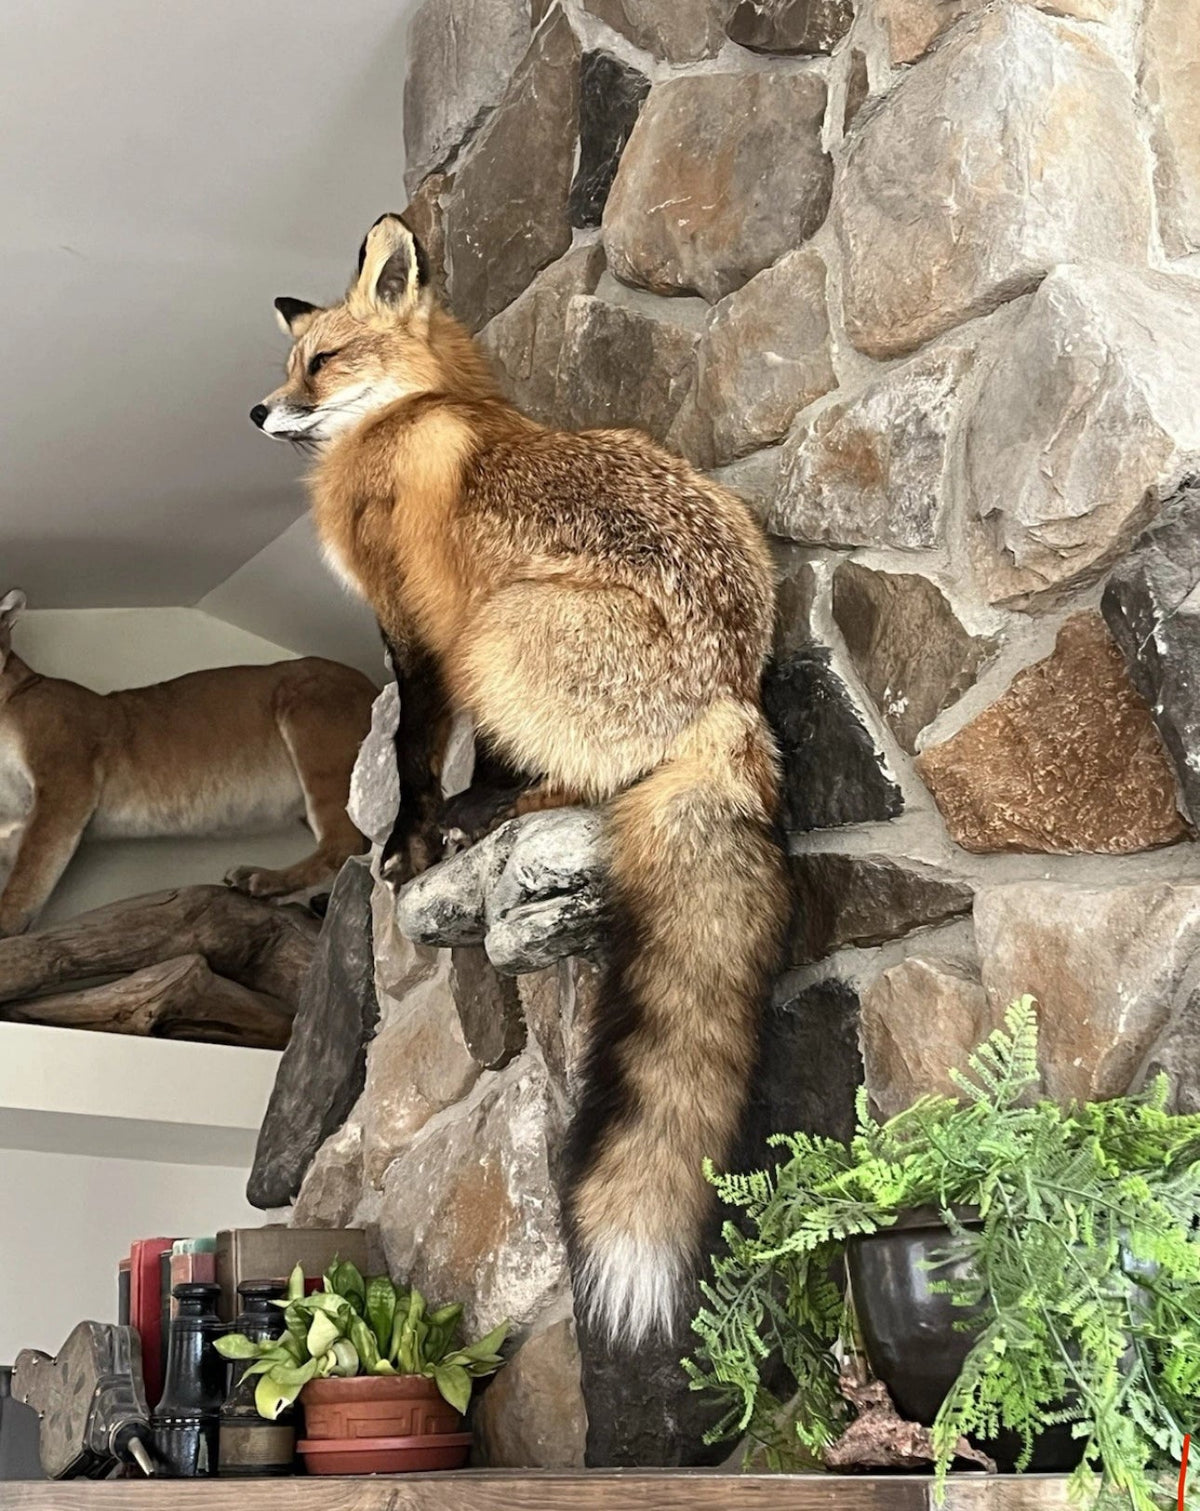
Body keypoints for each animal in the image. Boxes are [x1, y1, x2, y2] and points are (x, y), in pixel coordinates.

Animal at [0, 589, 376, 937]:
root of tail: (374, 684)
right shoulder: (14, 820)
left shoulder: (65, 780)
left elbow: (32, 868)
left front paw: (7, 923)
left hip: (314, 724)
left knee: (343, 843)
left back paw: (262, 880)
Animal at [251, 214, 790, 1345]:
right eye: (291, 360)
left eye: (321, 361)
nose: (258, 409)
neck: (415, 411)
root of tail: (730, 693)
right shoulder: (442, 631)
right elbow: (467, 746)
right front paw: (451, 814)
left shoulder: (427, 627)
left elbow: (419, 750)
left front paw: (411, 841)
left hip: (503, 632)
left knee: (595, 780)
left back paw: (515, 807)